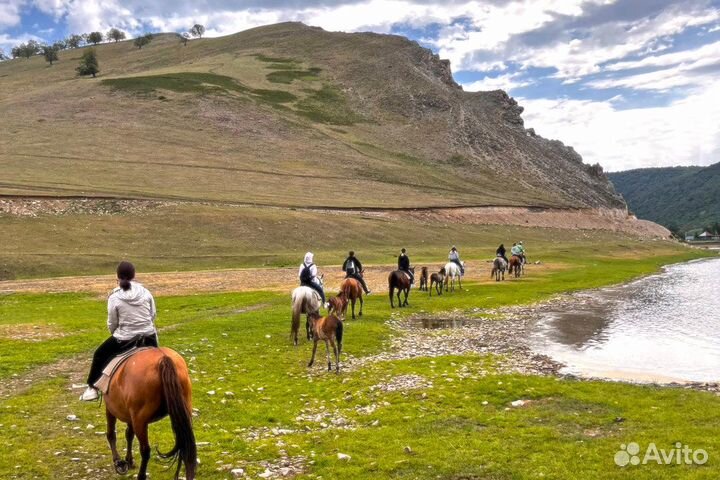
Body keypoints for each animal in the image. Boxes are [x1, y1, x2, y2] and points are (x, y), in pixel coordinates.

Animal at [102, 346, 195, 480]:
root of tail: (163, 359)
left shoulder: (111, 408)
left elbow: (111, 434)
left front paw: (119, 462)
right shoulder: (131, 416)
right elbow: (129, 434)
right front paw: (129, 460)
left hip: (140, 420)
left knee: (145, 450)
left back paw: (140, 475)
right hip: (183, 411)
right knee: (187, 445)